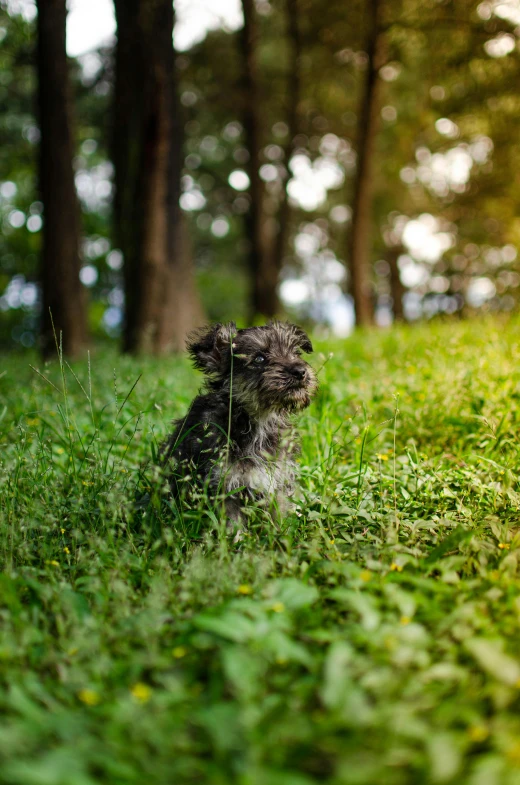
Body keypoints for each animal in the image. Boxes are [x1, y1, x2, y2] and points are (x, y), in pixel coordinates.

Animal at [162, 318, 316, 528]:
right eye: (259, 359)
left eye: (296, 353)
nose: (300, 371)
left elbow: (280, 518)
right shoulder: (225, 486)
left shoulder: (279, 480)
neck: (258, 421)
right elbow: (233, 527)